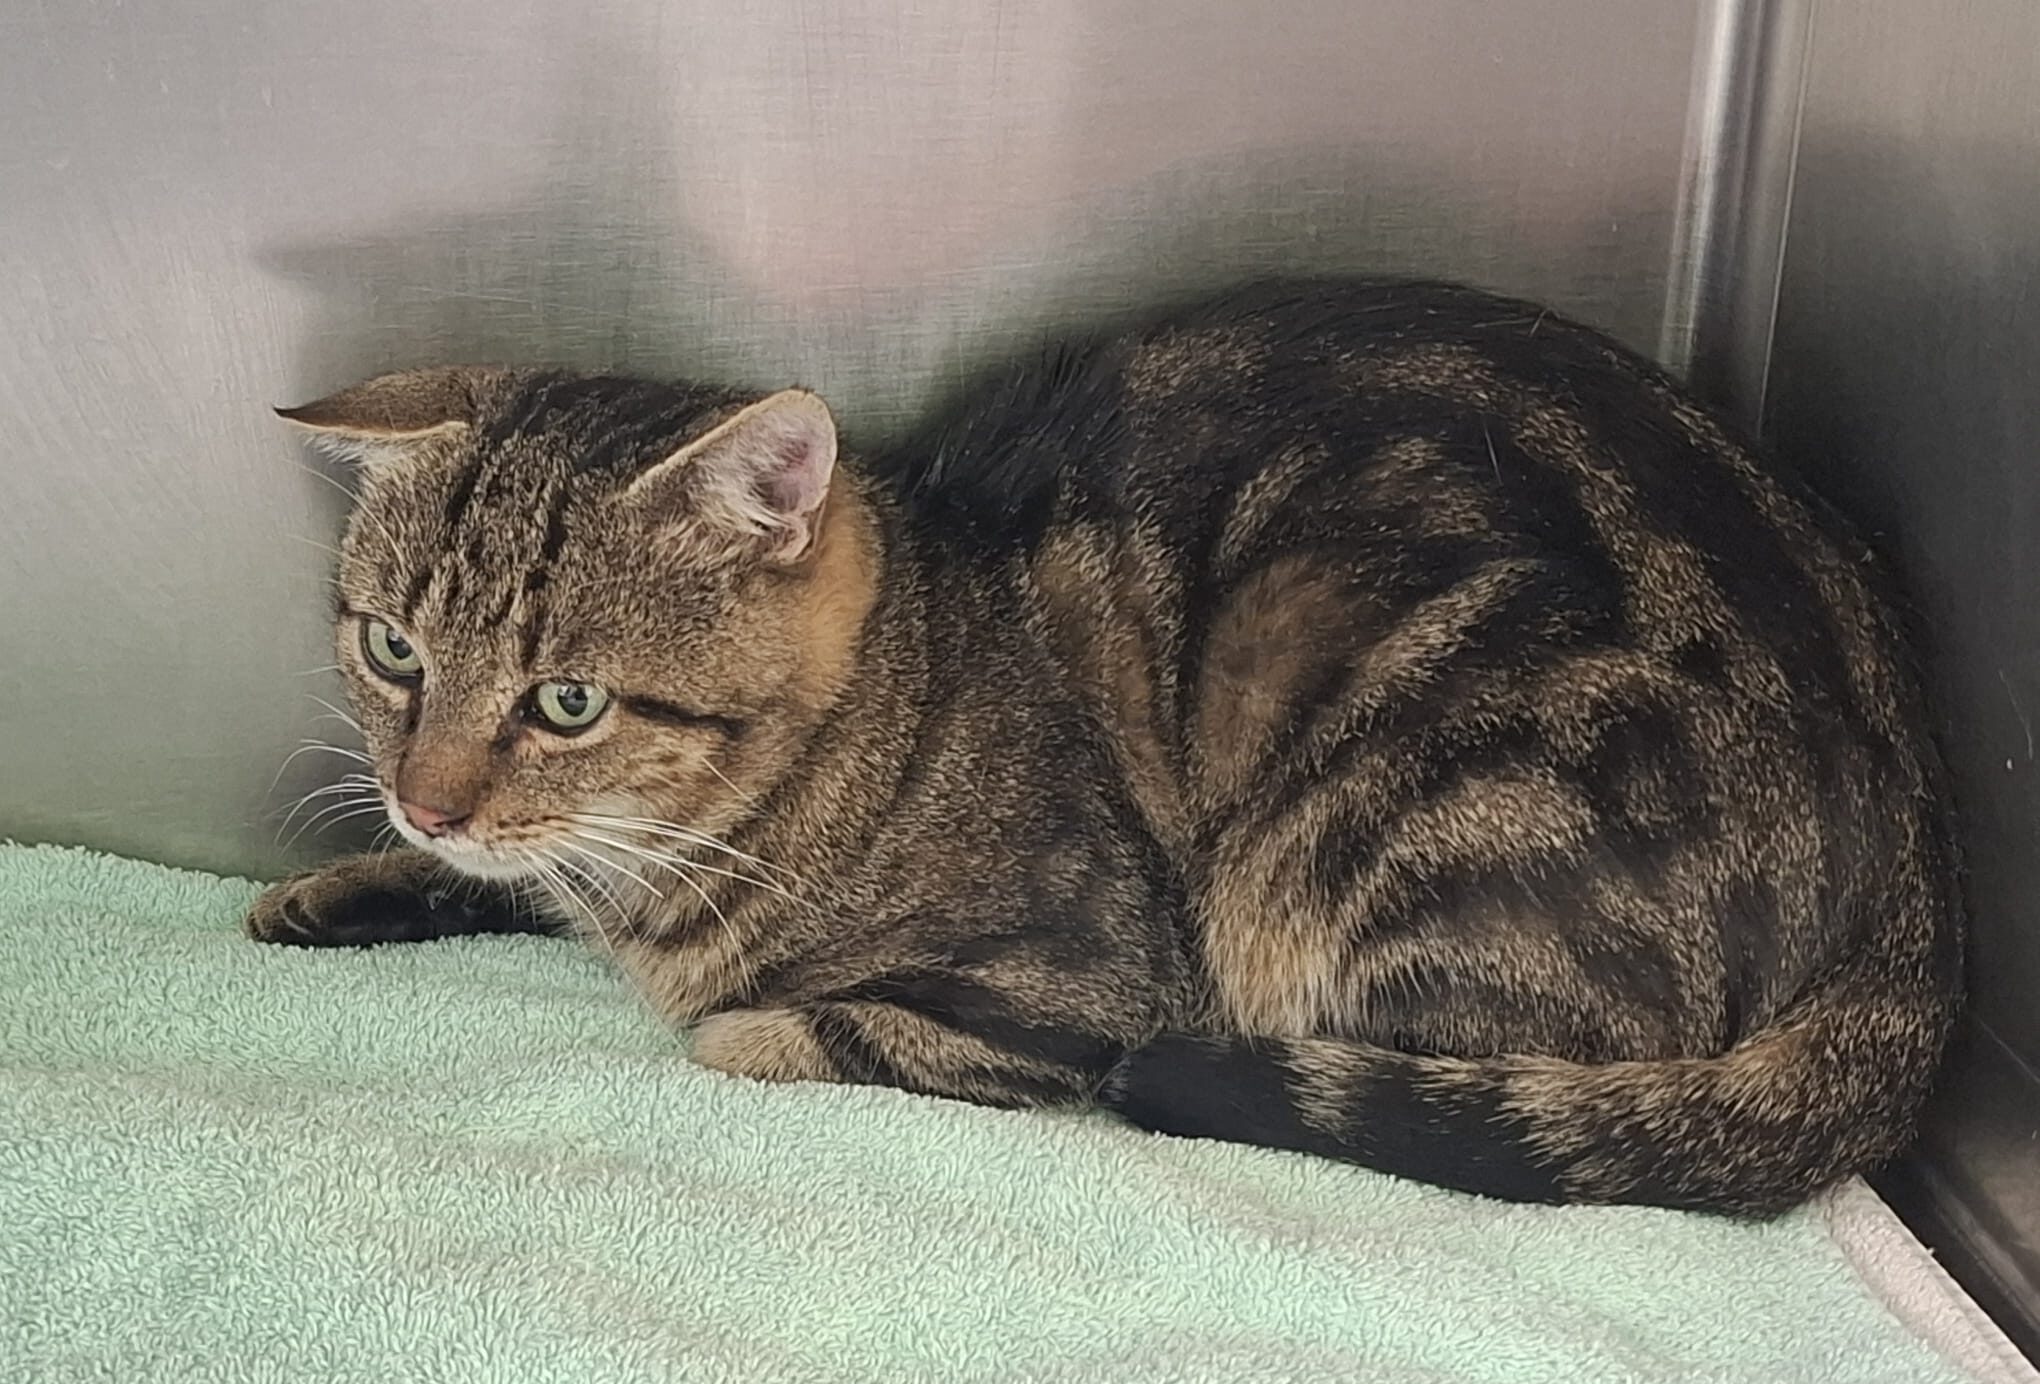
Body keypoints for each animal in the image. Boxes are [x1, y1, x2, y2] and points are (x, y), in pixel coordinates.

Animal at [249, 278, 1963, 1216]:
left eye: (568, 702)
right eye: (394, 652)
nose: (425, 798)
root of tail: (1923, 875)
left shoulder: (1066, 987)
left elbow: (765, 1029)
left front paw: (726, 1008)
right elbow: (511, 885)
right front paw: (348, 886)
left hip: (1353, 841)